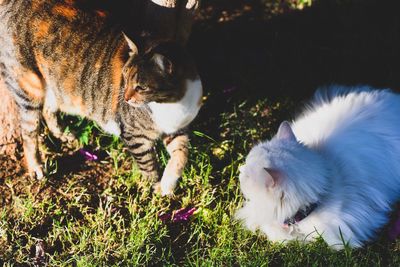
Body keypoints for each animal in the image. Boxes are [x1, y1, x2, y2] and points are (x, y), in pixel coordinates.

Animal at [0, 0, 200, 197]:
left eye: (141, 87)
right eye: (124, 76)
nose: (125, 98)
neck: (172, 103)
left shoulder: (177, 129)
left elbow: (182, 154)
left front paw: (167, 185)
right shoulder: (135, 136)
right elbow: (148, 164)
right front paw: (155, 188)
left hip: (55, 84)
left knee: (48, 109)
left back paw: (64, 134)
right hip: (28, 83)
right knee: (29, 131)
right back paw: (36, 167)